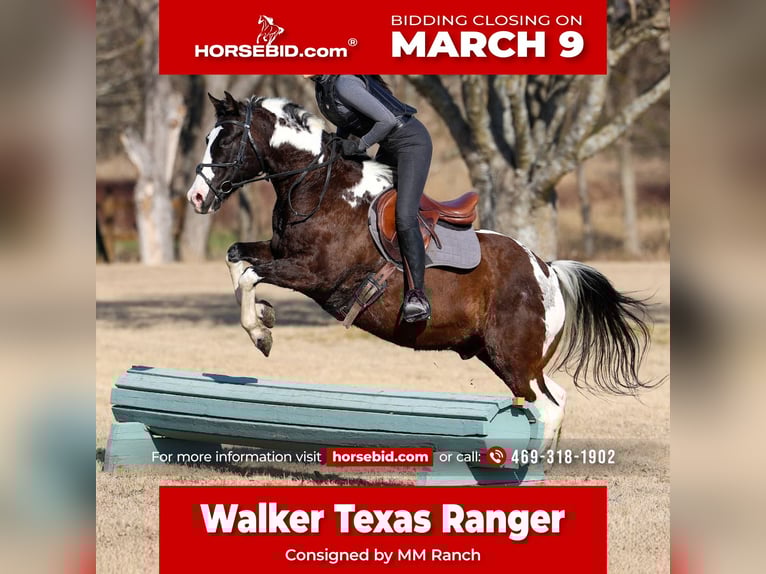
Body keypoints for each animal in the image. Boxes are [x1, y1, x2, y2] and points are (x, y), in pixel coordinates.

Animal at [186, 92, 657, 449]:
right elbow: (236, 258)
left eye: (225, 142)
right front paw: (263, 317)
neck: (319, 186)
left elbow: (251, 275)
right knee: (553, 397)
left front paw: (261, 331)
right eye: (208, 138)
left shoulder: (316, 274)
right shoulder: (280, 252)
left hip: (513, 357)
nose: (196, 197)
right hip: (501, 355)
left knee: (546, 405)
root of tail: (547, 270)